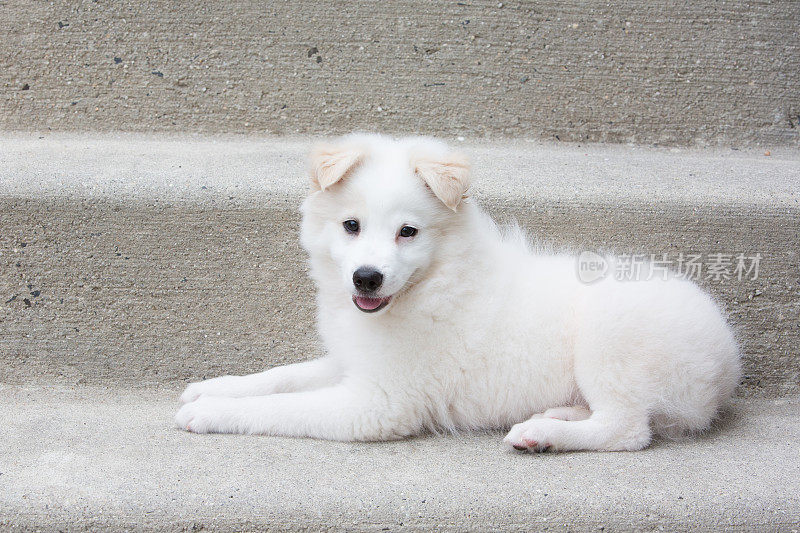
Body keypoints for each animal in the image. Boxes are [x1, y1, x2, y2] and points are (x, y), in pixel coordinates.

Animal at [177, 135, 744, 450]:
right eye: (351, 225)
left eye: (408, 232)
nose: (366, 278)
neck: (432, 283)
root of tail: (728, 360)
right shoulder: (352, 361)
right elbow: (282, 377)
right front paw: (213, 387)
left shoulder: (381, 401)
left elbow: (285, 407)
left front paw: (210, 413)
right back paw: (554, 414)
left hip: (612, 340)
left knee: (628, 429)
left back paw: (543, 435)